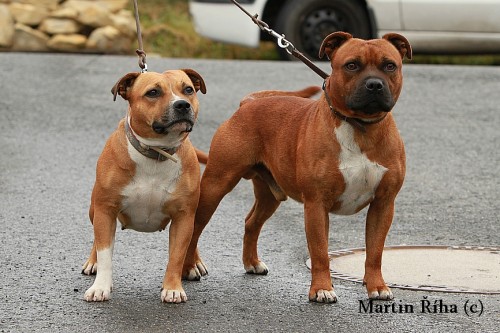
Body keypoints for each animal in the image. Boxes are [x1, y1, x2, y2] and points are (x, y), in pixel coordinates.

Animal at [82, 68, 207, 302]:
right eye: (153, 92)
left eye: (188, 90)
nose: (182, 104)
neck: (157, 152)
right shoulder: (105, 210)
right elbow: (105, 251)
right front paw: (100, 286)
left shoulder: (184, 216)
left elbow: (177, 255)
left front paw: (173, 288)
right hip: (94, 210)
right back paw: (92, 262)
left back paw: (193, 263)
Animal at [182, 32, 412, 302]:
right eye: (352, 65)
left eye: (390, 66)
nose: (374, 84)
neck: (360, 127)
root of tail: (248, 102)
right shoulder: (316, 204)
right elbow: (320, 251)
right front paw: (322, 289)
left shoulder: (383, 204)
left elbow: (375, 251)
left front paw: (377, 286)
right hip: (216, 184)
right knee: (195, 228)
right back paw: (189, 267)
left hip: (270, 195)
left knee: (251, 222)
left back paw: (252, 263)